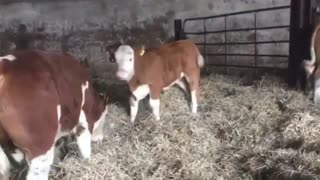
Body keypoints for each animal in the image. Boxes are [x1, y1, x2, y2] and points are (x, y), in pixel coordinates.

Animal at [0, 49, 107, 180]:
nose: (100, 138)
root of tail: (6, 65)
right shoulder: (85, 119)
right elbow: (85, 146)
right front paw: (88, 162)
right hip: (40, 146)